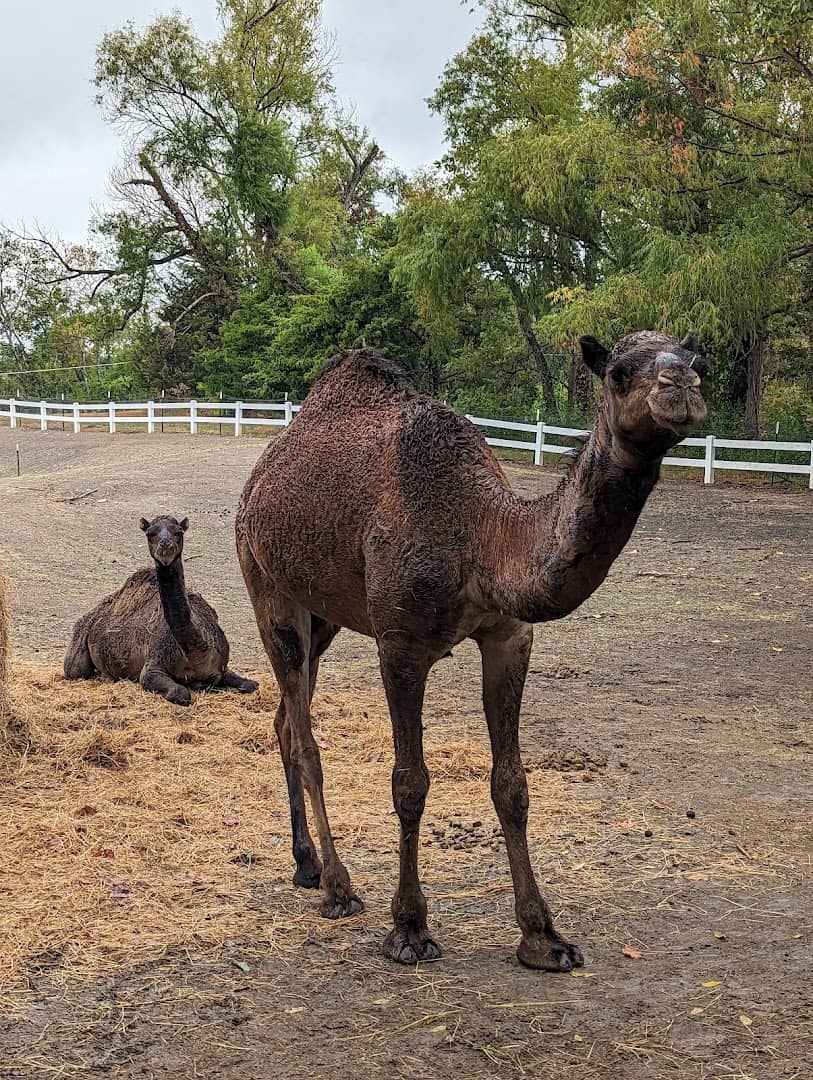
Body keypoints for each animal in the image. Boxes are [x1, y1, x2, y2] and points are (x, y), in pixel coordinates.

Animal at [64, 515, 258, 705]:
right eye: (150, 533)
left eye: (179, 531)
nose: (165, 546)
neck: (197, 652)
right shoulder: (153, 666)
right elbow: (180, 692)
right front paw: (196, 686)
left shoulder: (222, 666)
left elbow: (251, 685)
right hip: (78, 646)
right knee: (74, 670)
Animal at [236, 330, 708, 971]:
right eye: (618, 372)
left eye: (697, 362)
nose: (680, 385)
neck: (480, 535)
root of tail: (257, 481)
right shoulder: (400, 645)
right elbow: (409, 784)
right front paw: (409, 928)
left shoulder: (509, 635)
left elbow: (512, 785)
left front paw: (543, 937)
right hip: (267, 587)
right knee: (305, 736)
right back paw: (337, 886)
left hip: (323, 616)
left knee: (286, 720)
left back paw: (306, 865)